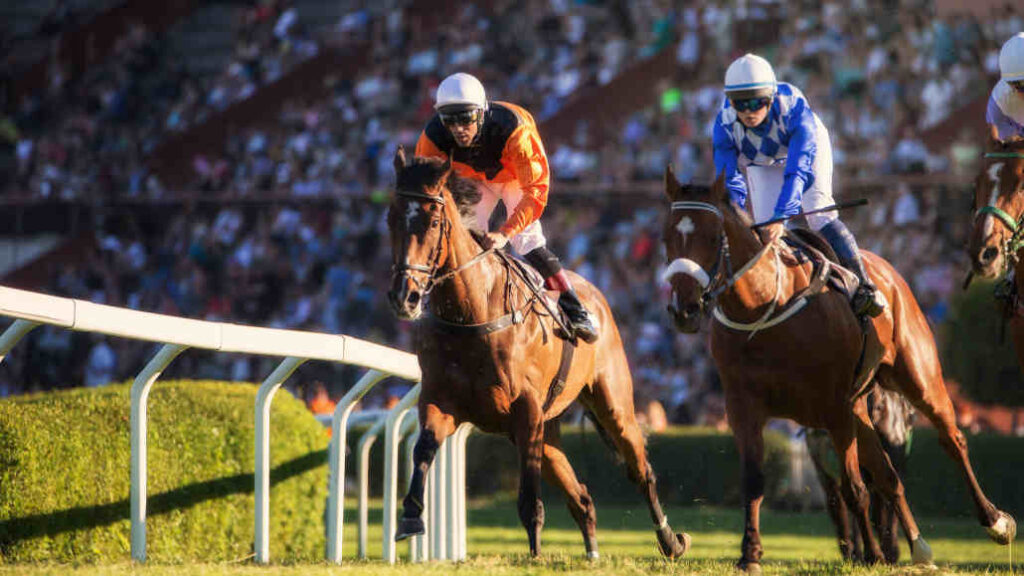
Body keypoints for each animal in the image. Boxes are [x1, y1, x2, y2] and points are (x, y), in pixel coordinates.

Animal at [385, 148, 690, 559]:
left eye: (433, 221)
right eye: (391, 217)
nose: (406, 296)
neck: (472, 313)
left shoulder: (526, 411)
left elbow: (530, 496)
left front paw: (535, 553)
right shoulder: (441, 402)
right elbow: (422, 450)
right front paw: (410, 516)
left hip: (613, 404)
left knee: (640, 471)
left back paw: (670, 541)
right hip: (548, 430)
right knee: (581, 496)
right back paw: (592, 551)